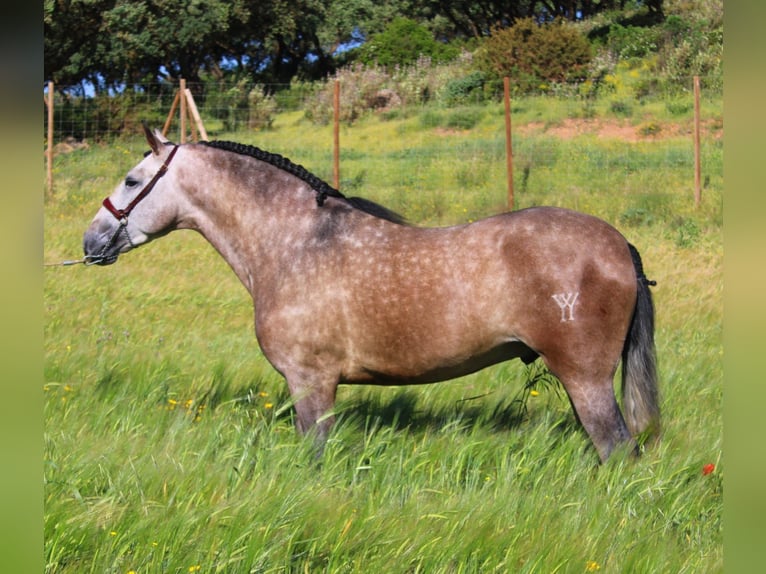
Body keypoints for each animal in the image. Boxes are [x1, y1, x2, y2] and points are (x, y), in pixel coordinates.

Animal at [82, 126, 660, 464]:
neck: (297, 243)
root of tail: (618, 244)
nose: (91, 241)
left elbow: (314, 456)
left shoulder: (310, 382)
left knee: (617, 450)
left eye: (132, 180)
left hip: (585, 380)